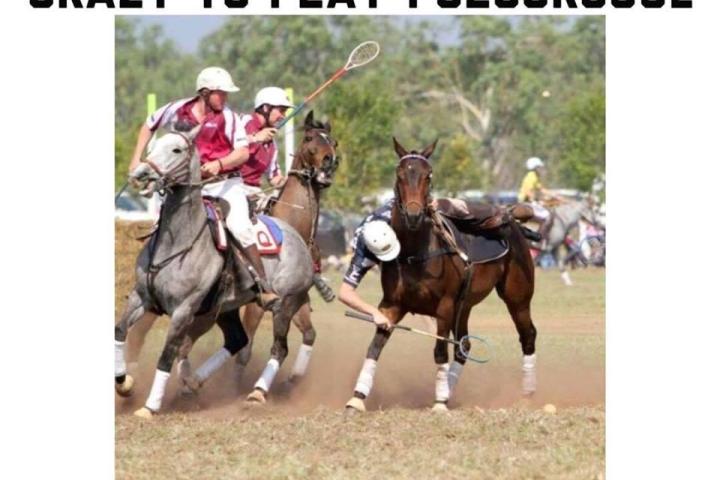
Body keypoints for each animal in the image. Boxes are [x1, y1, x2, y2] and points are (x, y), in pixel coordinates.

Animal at [114, 126, 314, 418]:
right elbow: (119, 331)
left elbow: (167, 354)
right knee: (237, 339)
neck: (176, 241)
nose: (141, 174)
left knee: (279, 347)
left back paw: (256, 392)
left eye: (177, 150)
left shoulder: (184, 309)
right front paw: (124, 383)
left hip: (286, 304)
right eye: (154, 146)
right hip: (226, 307)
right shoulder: (142, 297)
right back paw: (194, 381)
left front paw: (150, 407)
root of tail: (300, 240)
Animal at [176, 111, 339, 404]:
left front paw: (293, 377)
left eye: (333, 141)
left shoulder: (297, 298)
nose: (330, 161)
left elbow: (309, 334)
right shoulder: (257, 304)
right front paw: (240, 388)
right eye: (309, 137)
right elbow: (246, 348)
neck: (294, 227)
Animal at [344, 138, 538, 413]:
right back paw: (449, 390)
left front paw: (438, 403)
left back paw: (526, 395)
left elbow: (439, 350)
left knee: (527, 334)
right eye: (399, 174)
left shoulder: (444, 307)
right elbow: (375, 347)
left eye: (429, 175)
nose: (414, 215)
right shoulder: (391, 305)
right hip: (465, 305)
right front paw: (357, 398)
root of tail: (516, 226)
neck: (414, 253)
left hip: (517, 296)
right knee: (464, 346)